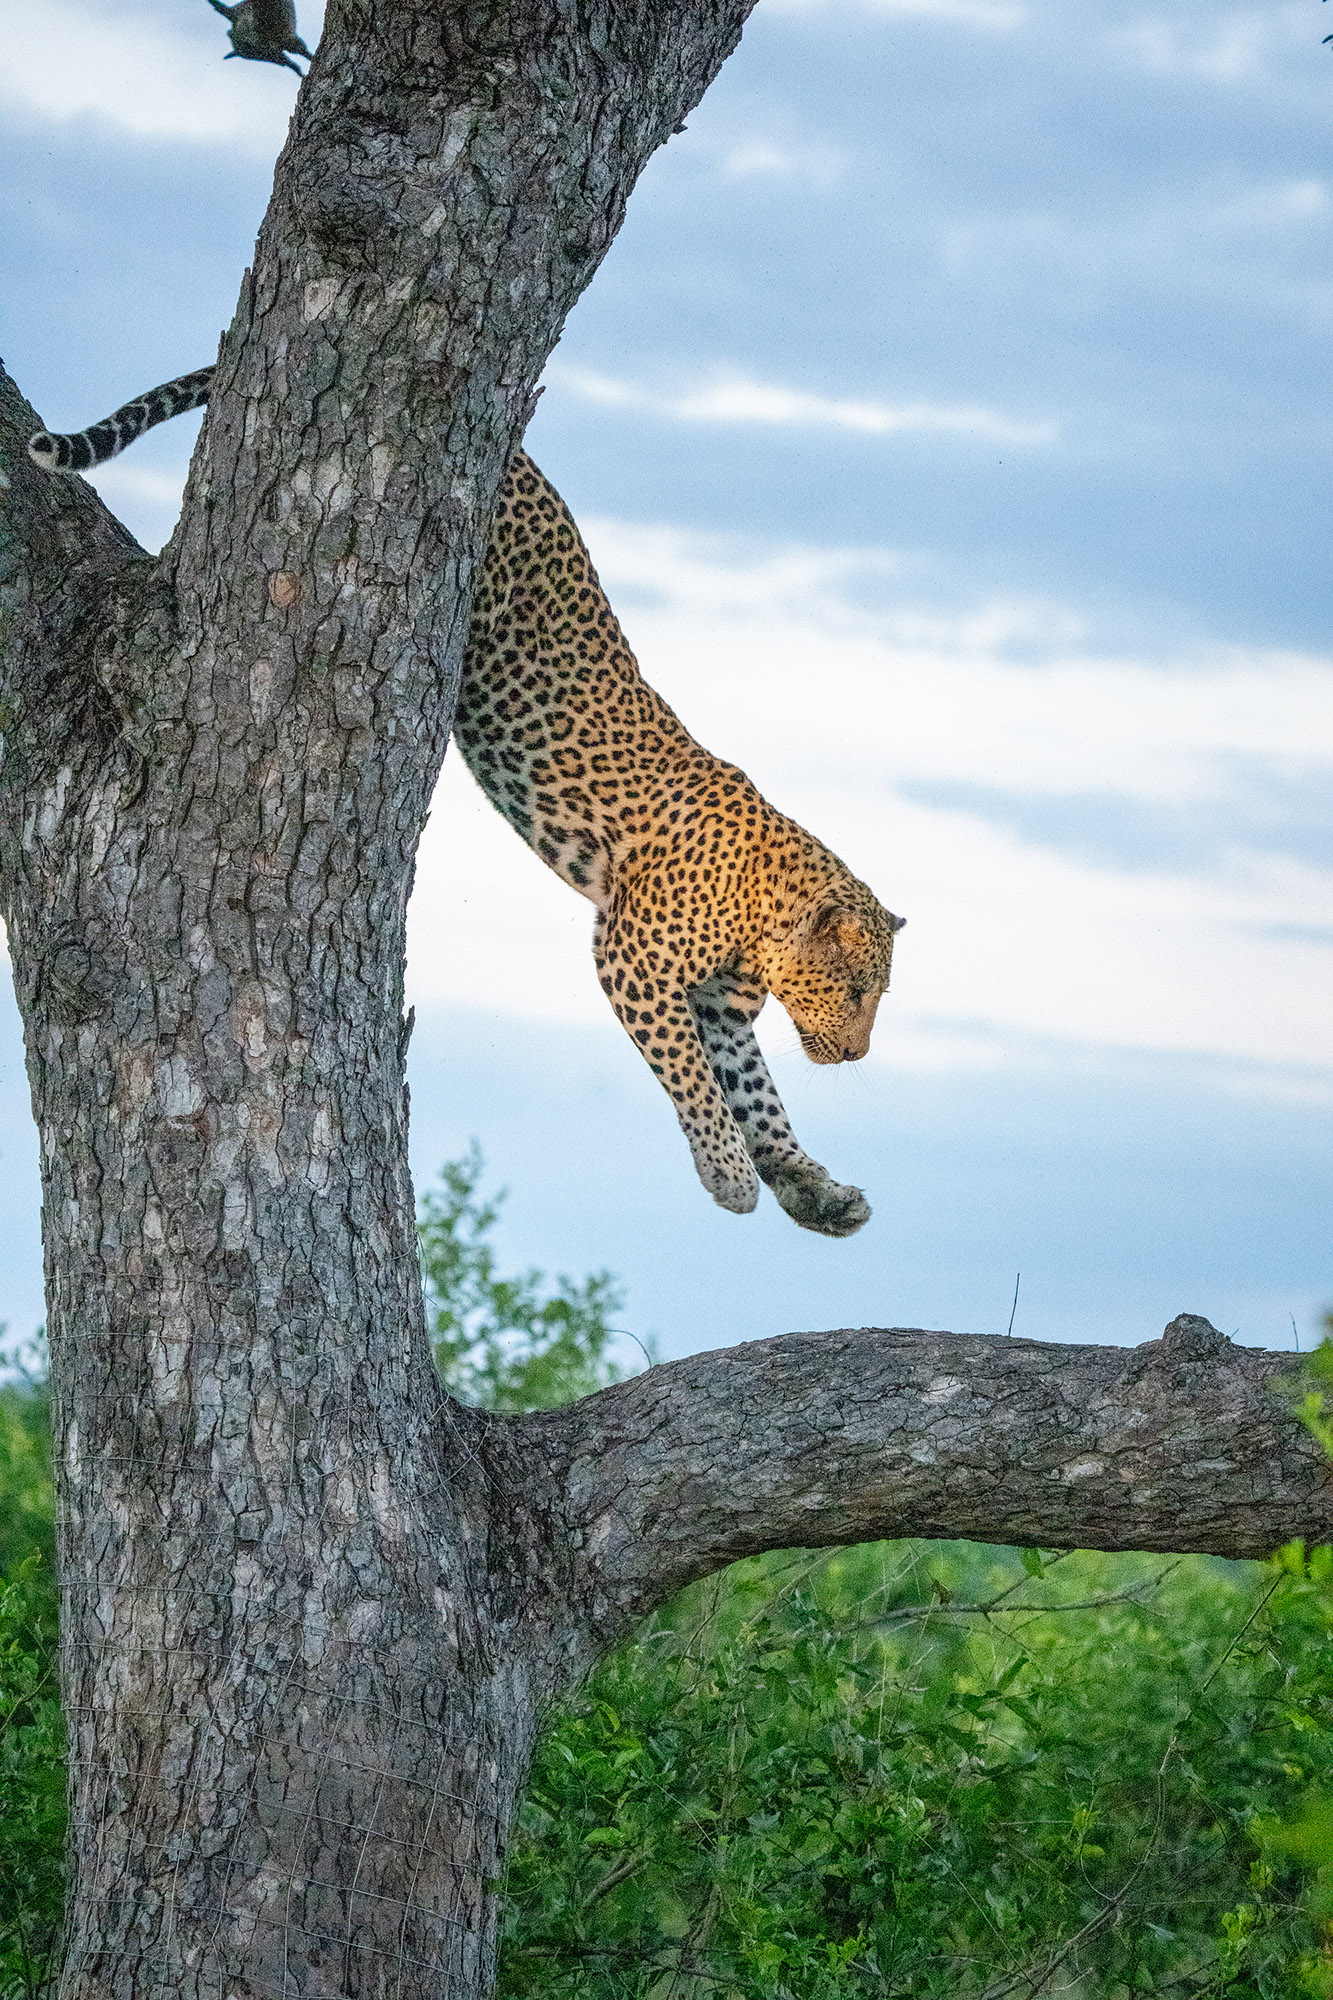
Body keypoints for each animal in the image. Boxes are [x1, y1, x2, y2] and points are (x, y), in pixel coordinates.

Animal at [28, 370, 905, 1236]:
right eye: (856, 994)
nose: (857, 1055)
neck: (763, 927)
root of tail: (518, 454)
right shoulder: (633, 959)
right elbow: (691, 1074)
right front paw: (728, 1173)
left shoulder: (718, 1004)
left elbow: (758, 1094)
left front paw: (809, 1186)